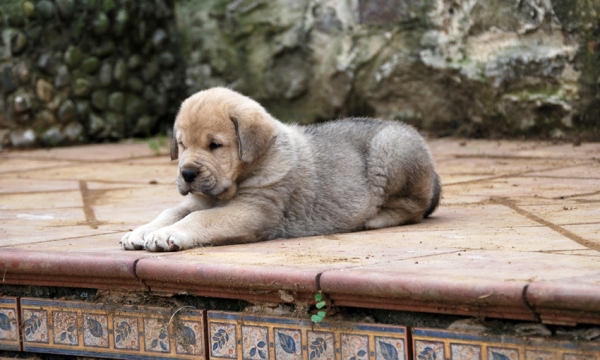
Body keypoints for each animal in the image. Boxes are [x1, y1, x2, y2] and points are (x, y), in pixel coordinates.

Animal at [120, 87, 440, 250]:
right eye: (182, 144)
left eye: (215, 145)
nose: (187, 174)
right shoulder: (199, 199)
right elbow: (172, 211)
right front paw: (141, 231)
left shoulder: (254, 211)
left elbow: (200, 219)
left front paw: (165, 235)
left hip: (392, 147)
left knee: (414, 207)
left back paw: (375, 218)